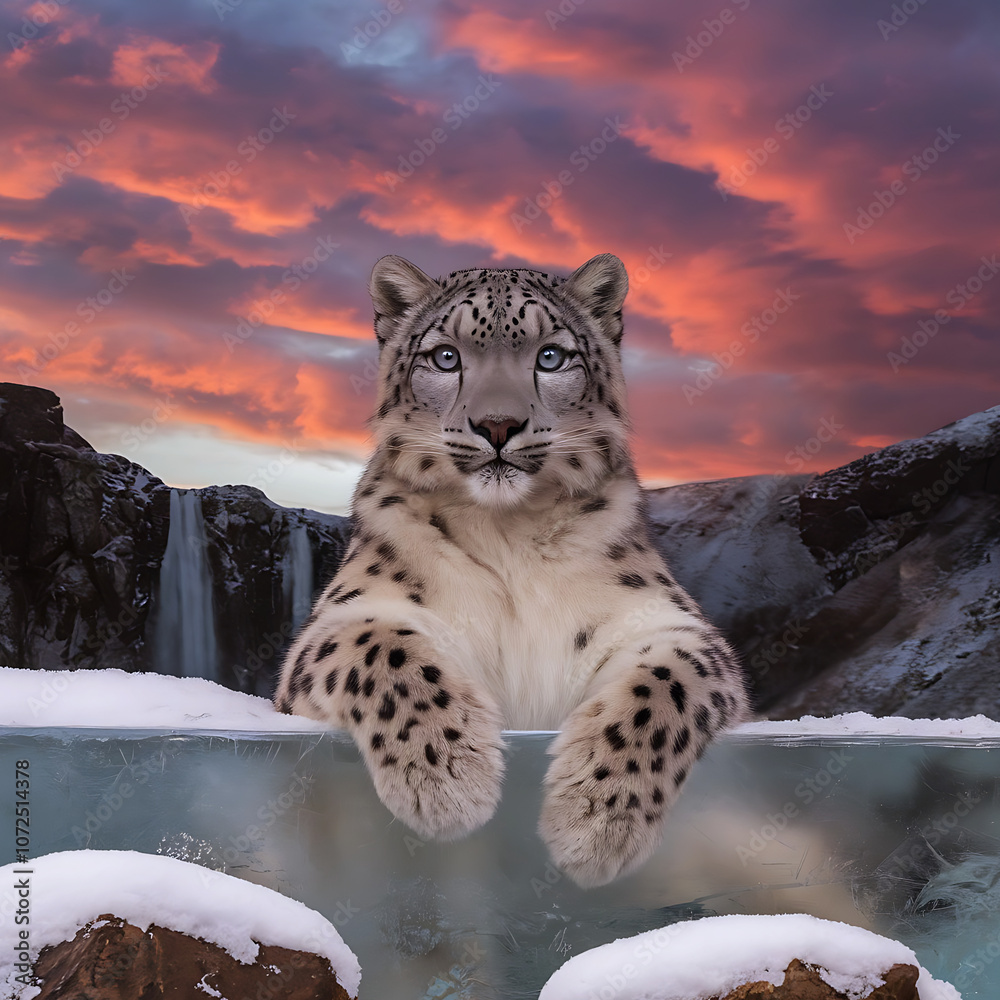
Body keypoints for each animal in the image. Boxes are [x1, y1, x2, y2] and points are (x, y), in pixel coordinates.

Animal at [274, 253, 750, 887]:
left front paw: (597, 820)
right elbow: (382, 647)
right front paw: (448, 778)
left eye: (550, 356)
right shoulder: (338, 622)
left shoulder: (668, 625)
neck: (509, 535)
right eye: (445, 357)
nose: (497, 425)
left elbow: (666, 686)